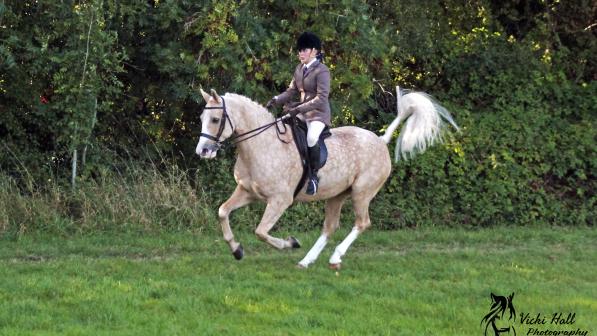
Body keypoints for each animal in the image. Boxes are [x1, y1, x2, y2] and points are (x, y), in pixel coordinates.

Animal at [196, 87, 456, 270]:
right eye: (201, 118)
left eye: (216, 120)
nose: (203, 151)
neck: (262, 145)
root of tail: (381, 141)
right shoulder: (247, 191)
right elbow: (223, 211)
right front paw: (237, 250)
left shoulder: (280, 200)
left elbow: (260, 231)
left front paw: (290, 242)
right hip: (337, 195)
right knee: (330, 227)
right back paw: (306, 261)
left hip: (362, 193)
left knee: (362, 223)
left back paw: (334, 257)